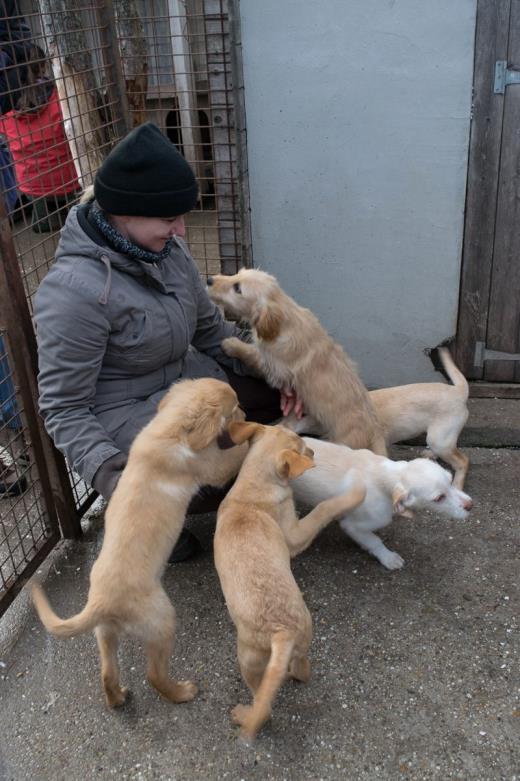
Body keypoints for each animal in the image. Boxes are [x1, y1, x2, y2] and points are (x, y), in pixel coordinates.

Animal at [30, 376, 248, 708]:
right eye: (234, 406)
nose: (246, 412)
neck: (168, 429)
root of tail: (100, 602)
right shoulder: (211, 466)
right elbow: (236, 454)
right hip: (161, 620)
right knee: (154, 675)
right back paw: (182, 692)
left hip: (105, 633)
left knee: (108, 673)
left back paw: (118, 697)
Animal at [206, 268, 386, 454]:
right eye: (237, 274)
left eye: (237, 288)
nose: (209, 280)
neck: (285, 317)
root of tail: (375, 429)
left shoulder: (274, 363)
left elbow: (252, 353)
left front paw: (230, 344)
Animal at [212, 420, 366, 736]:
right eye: (302, 447)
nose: (314, 451)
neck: (253, 489)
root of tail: (282, 631)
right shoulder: (295, 536)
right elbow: (322, 509)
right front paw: (354, 495)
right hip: (254, 658)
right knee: (268, 703)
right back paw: (247, 714)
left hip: (278, 649)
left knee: (292, 678)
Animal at [290, 436, 474, 568]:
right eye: (439, 498)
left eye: (450, 480)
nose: (470, 506)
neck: (384, 475)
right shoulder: (354, 526)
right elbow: (374, 541)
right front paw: (389, 558)